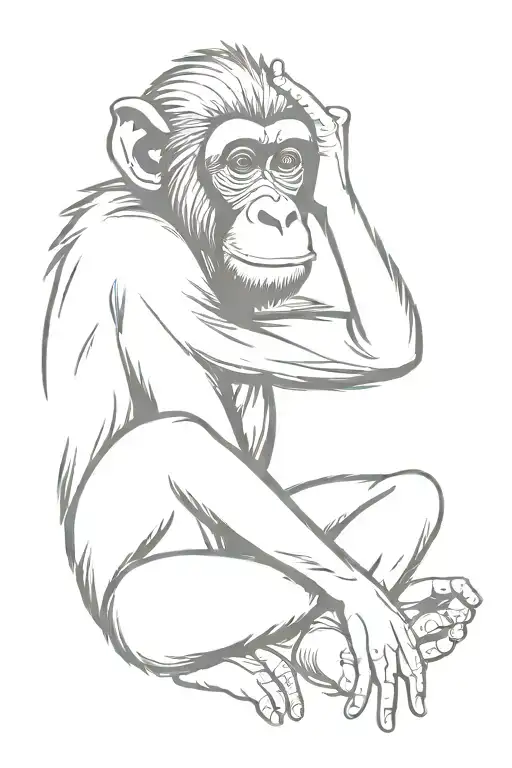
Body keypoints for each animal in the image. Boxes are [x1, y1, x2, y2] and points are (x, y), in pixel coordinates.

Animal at [43, 45, 481, 732]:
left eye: (290, 161)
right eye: (243, 162)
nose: (279, 211)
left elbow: (370, 345)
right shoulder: (146, 249)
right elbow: (188, 440)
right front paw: (372, 603)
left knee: (403, 495)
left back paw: (335, 645)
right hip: (131, 596)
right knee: (173, 483)